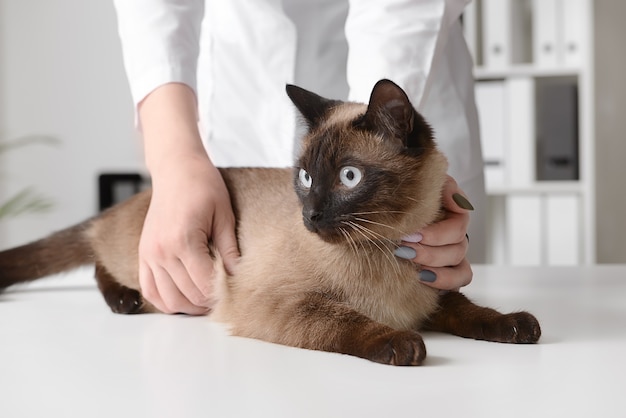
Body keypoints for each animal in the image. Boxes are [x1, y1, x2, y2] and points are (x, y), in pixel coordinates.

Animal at [0, 79, 540, 366]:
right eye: (304, 176)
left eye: (348, 176)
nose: (310, 215)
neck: (385, 250)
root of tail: (144, 196)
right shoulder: (283, 306)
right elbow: (346, 323)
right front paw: (400, 343)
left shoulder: (433, 291)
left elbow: (471, 310)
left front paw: (515, 326)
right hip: (160, 274)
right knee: (98, 256)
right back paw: (124, 302)